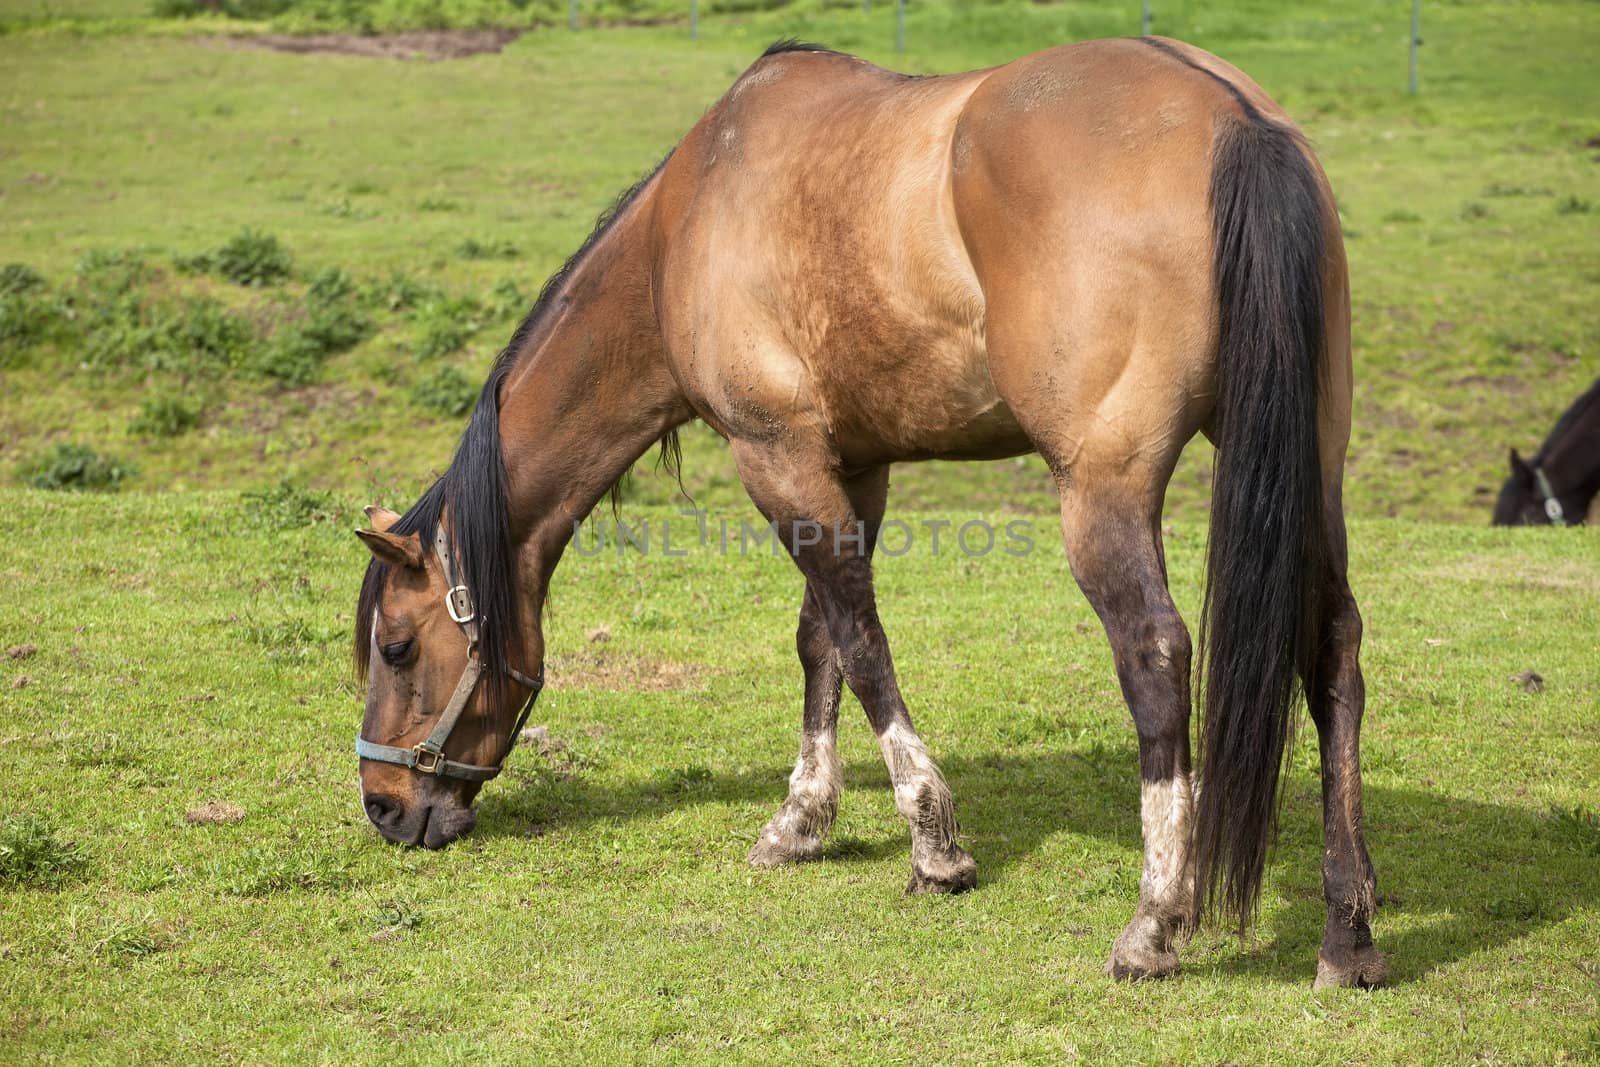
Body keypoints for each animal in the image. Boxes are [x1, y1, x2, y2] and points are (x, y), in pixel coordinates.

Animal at [356, 37, 1382, 991]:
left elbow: (859, 636)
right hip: (1313, 468)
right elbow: (821, 638)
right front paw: (802, 818)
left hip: (1104, 489)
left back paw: (1155, 920)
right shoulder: (855, 464)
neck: (685, 223)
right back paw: (1349, 931)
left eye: (398, 647)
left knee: (1157, 655)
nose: (383, 805)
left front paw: (933, 841)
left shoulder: (775, 455)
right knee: (1332, 647)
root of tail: (1235, 121)